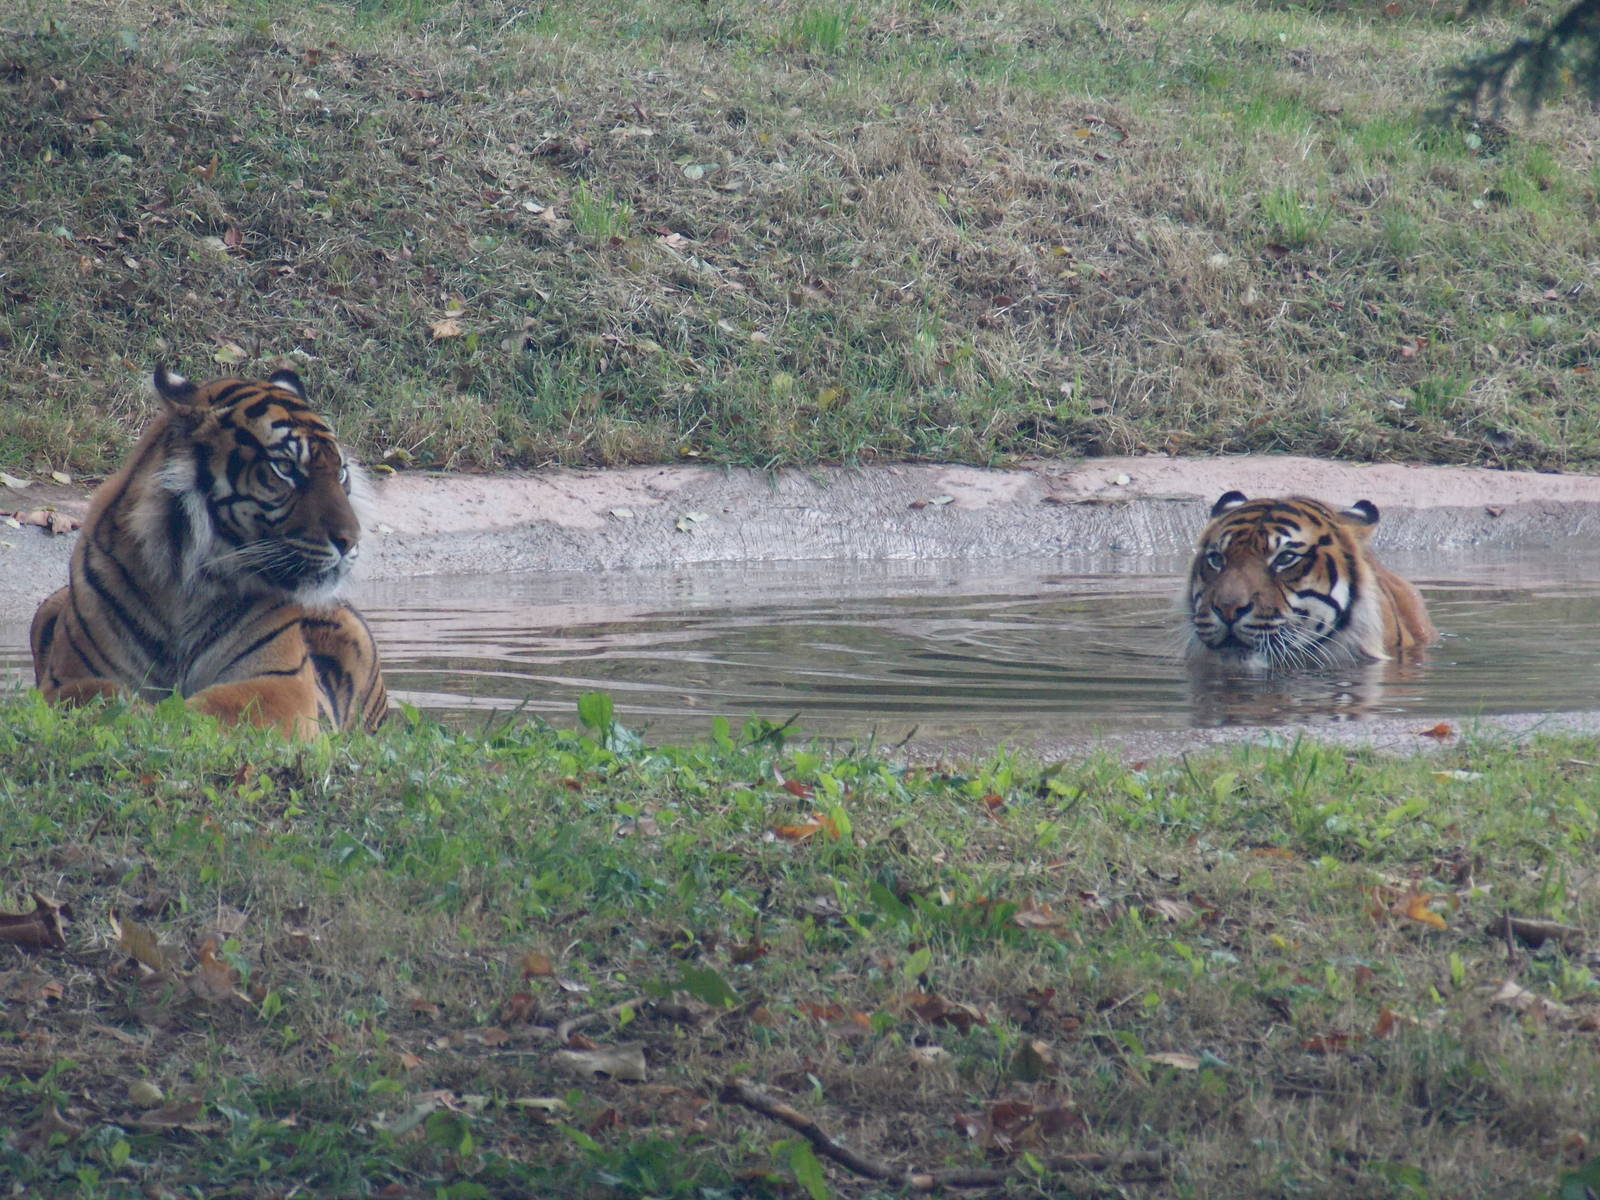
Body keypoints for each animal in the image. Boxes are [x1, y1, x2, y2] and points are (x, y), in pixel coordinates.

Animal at [29, 365, 387, 737]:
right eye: (286, 468)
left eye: (341, 472)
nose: (351, 540)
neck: (182, 582)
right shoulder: (67, 677)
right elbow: (95, 692)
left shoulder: (284, 683)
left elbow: (218, 707)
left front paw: (162, 719)